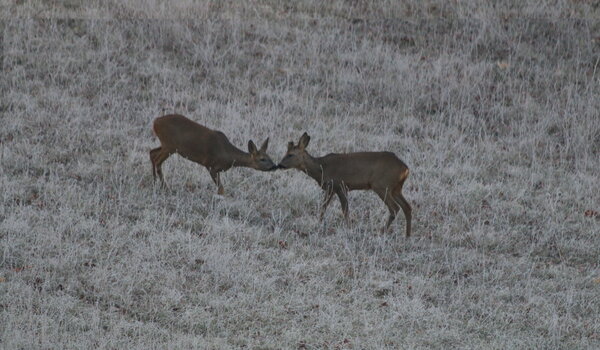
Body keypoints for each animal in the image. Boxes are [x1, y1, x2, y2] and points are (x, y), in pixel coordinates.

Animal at [278, 133, 410, 237]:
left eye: (290, 154)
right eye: (286, 153)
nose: (279, 164)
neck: (321, 169)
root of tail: (405, 169)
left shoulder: (340, 185)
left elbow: (344, 209)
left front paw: (348, 228)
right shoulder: (331, 188)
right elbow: (324, 207)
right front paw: (319, 223)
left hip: (381, 185)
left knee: (395, 208)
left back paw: (382, 231)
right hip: (396, 188)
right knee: (407, 207)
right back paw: (407, 235)